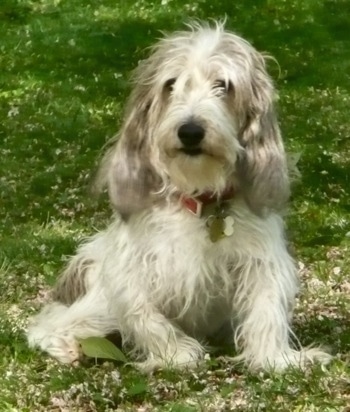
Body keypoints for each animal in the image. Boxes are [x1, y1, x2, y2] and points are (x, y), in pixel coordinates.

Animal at [27, 21, 330, 370]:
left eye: (224, 85)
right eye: (170, 84)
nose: (190, 131)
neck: (200, 199)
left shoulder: (260, 259)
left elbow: (266, 309)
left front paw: (276, 358)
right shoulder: (130, 267)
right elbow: (144, 314)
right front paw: (176, 353)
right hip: (97, 303)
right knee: (48, 325)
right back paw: (68, 345)